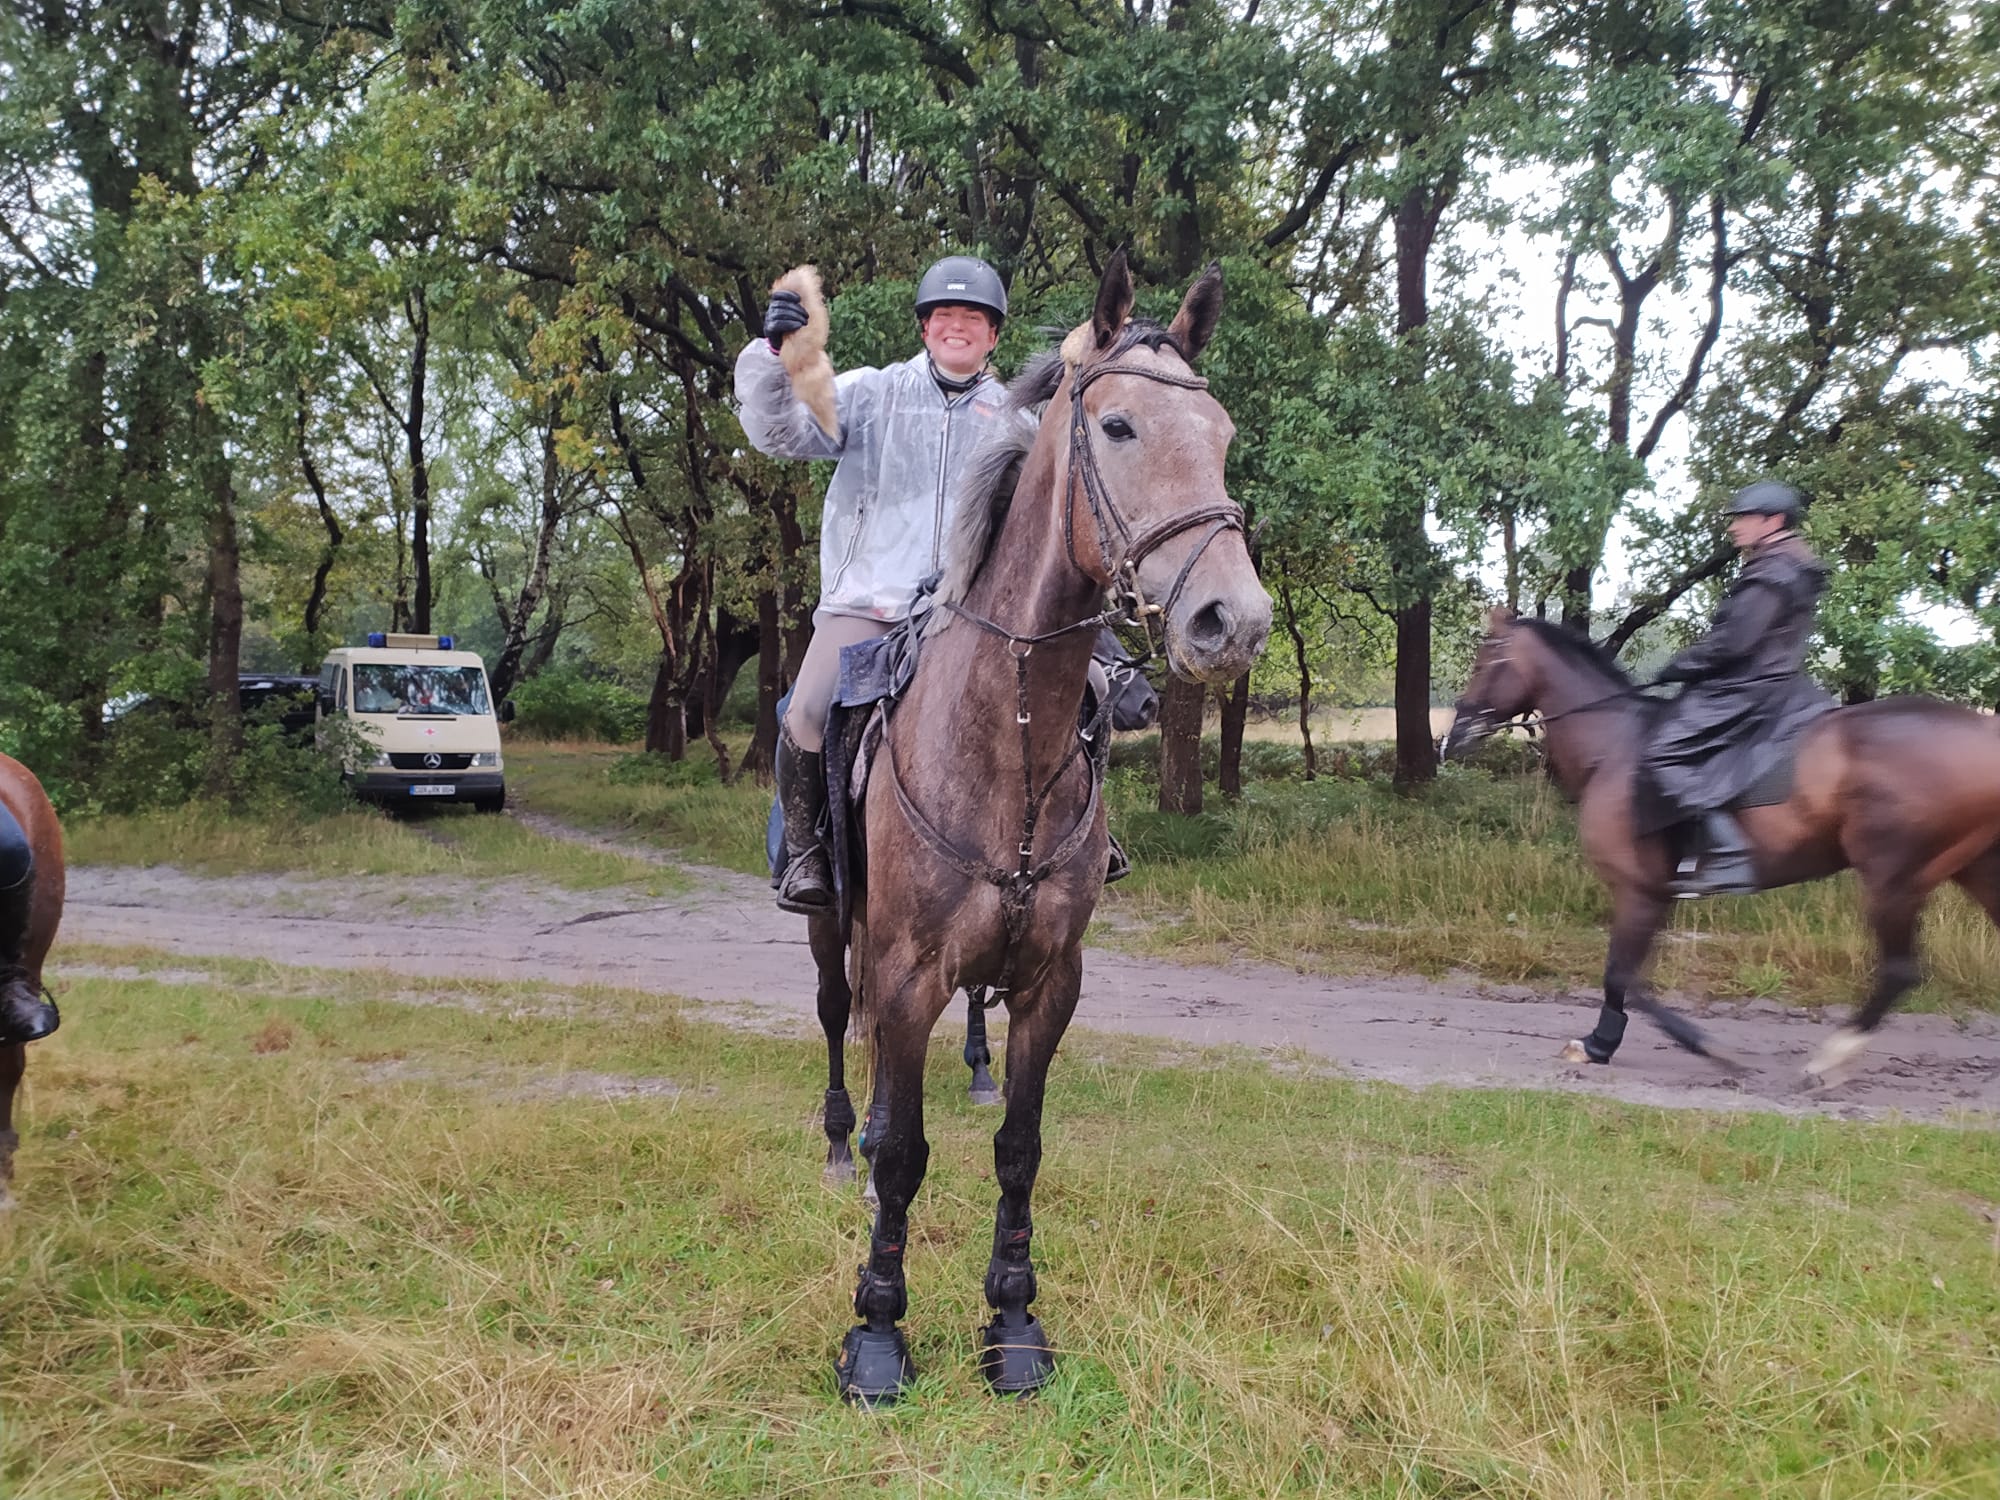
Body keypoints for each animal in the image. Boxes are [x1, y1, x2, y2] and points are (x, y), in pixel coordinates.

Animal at [806, 251, 1271, 1405]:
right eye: (1118, 427)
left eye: (1222, 432)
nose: (1233, 623)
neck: (1005, 733)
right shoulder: (907, 972)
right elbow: (905, 1158)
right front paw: (876, 1331)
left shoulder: (1049, 980)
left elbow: (1018, 1147)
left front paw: (1012, 1322)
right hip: (834, 930)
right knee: (839, 1026)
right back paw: (839, 1137)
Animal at [1441, 610, 2000, 1083]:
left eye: (1484, 660)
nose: (1453, 737)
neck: (1616, 747)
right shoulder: (1655, 893)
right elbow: (1624, 976)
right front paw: (1603, 1045)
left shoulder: (1638, 888)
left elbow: (1623, 974)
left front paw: (1686, 1045)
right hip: (1971, 870)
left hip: (1892, 878)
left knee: (1898, 971)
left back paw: (1828, 1060)